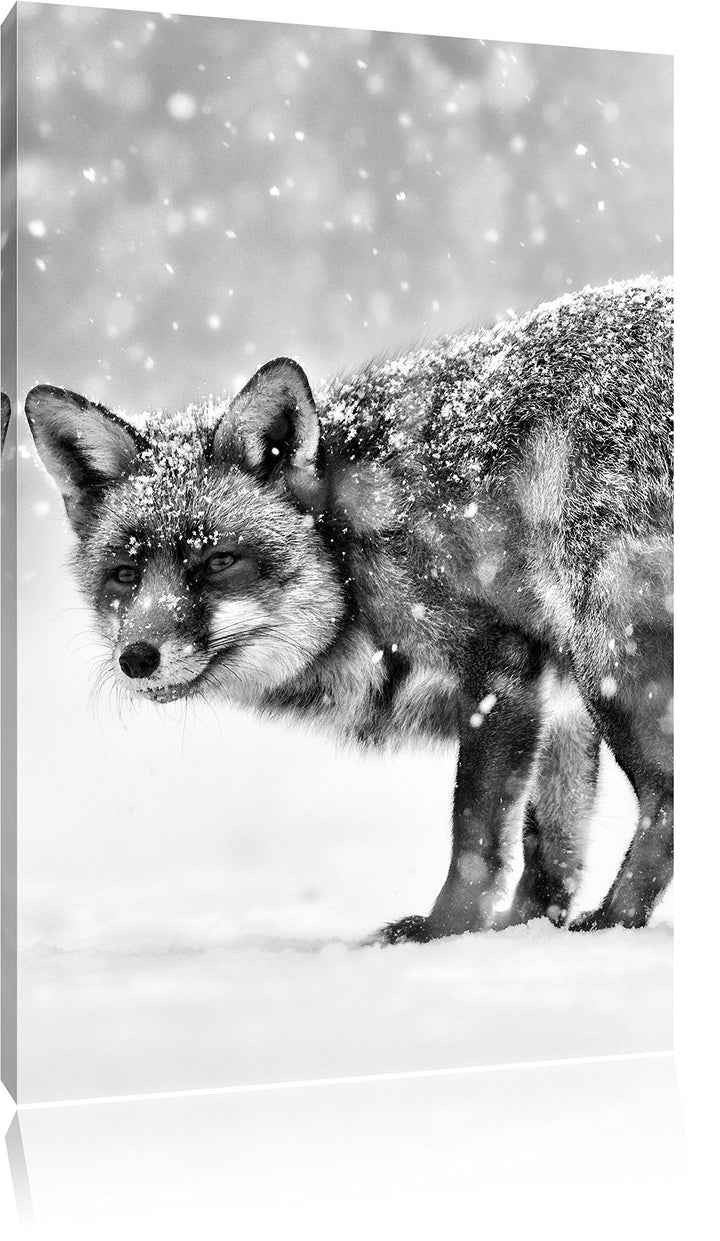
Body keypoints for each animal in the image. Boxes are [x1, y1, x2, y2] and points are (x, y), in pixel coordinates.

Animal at [25, 275, 673, 940]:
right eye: (125, 575)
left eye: (218, 561)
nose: (137, 658)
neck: (352, 552)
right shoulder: (555, 691)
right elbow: (552, 841)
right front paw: (522, 933)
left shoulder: (500, 670)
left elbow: (475, 836)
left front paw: (443, 933)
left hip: (608, 656)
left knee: (665, 800)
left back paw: (615, 923)